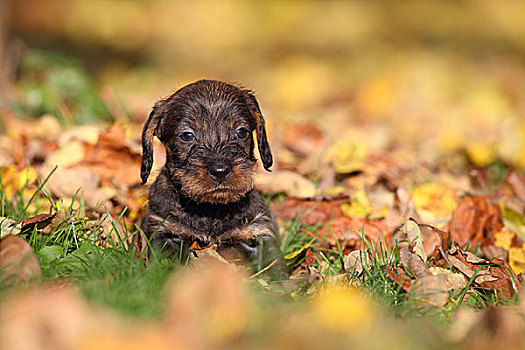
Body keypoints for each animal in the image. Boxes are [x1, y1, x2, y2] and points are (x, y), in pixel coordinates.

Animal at [139, 80, 286, 280]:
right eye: (187, 135)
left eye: (241, 132)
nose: (220, 171)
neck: (211, 210)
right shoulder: (164, 231)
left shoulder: (258, 234)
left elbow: (276, 268)